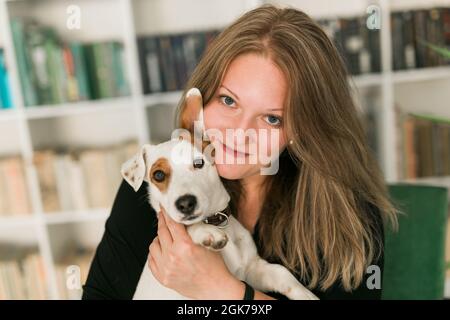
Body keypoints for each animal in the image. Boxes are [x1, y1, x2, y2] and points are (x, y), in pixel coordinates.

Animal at [119, 87, 316, 300]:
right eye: (158, 175)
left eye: (198, 163)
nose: (185, 203)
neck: (215, 221)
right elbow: (188, 227)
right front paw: (206, 233)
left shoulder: (252, 269)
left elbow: (282, 273)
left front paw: (306, 295)